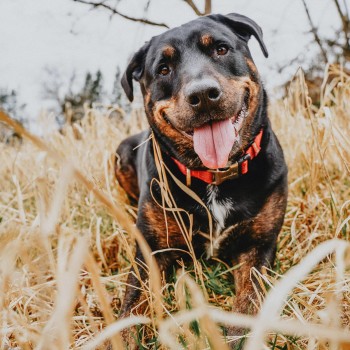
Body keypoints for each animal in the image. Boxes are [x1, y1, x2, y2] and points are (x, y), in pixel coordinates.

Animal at [115, 11, 288, 348]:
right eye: (163, 69)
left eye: (221, 49)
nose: (203, 95)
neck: (214, 176)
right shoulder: (150, 251)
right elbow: (131, 303)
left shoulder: (259, 245)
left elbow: (249, 302)